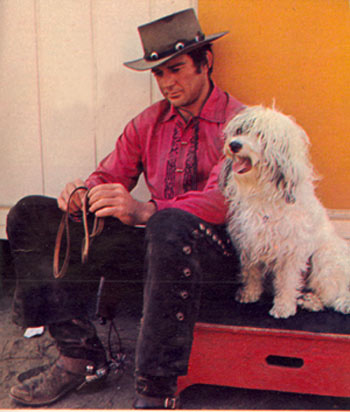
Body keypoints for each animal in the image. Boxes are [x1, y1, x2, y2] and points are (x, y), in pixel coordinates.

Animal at [221, 106, 350, 318]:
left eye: (260, 134)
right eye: (241, 130)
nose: (234, 145)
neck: (263, 193)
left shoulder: (291, 250)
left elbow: (287, 280)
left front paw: (283, 307)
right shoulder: (250, 241)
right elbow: (252, 272)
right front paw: (249, 294)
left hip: (325, 257)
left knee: (333, 295)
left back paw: (312, 301)